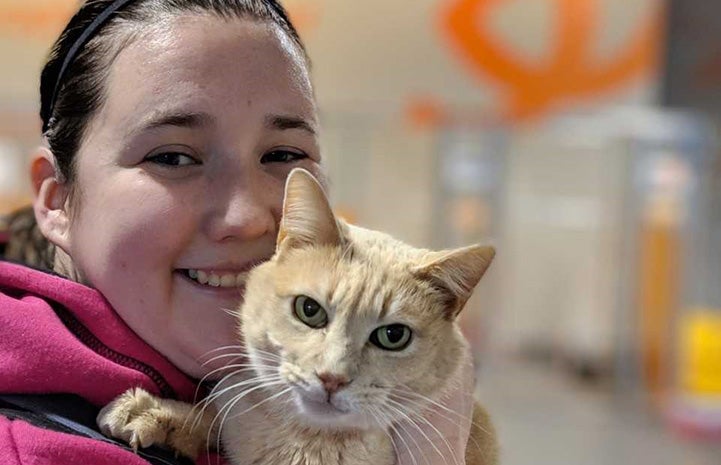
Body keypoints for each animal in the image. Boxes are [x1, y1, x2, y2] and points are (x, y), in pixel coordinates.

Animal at [95, 169, 498, 464]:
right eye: (310, 310)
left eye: (393, 336)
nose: (332, 378)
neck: (310, 444)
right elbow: (215, 415)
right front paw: (156, 413)